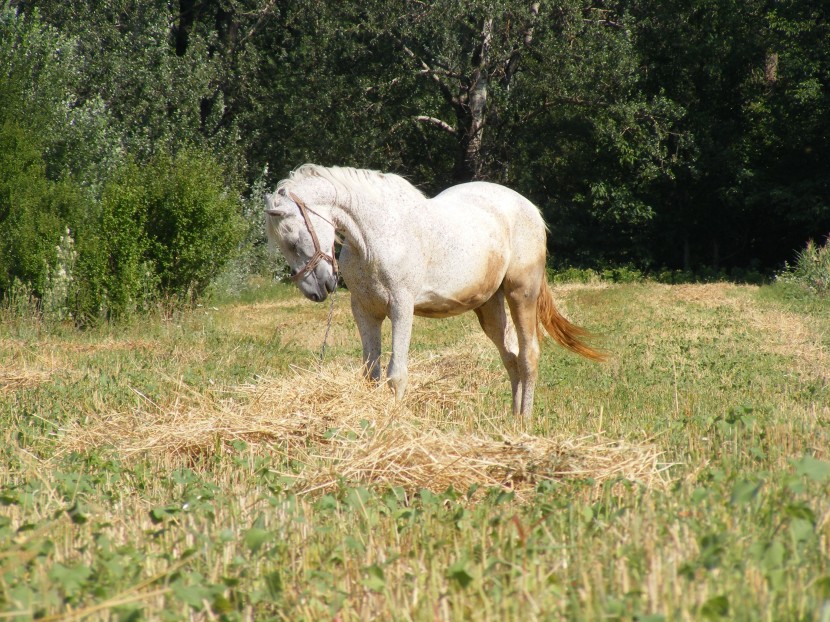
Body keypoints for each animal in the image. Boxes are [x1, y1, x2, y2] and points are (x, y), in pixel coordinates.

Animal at [266, 166, 604, 420]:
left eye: (293, 240)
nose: (316, 290)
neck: (375, 235)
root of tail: (530, 209)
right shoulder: (365, 311)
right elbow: (371, 375)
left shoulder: (401, 308)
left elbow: (396, 374)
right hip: (489, 307)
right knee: (512, 358)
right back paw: (512, 419)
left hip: (522, 293)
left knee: (529, 355)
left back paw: (525, 421)